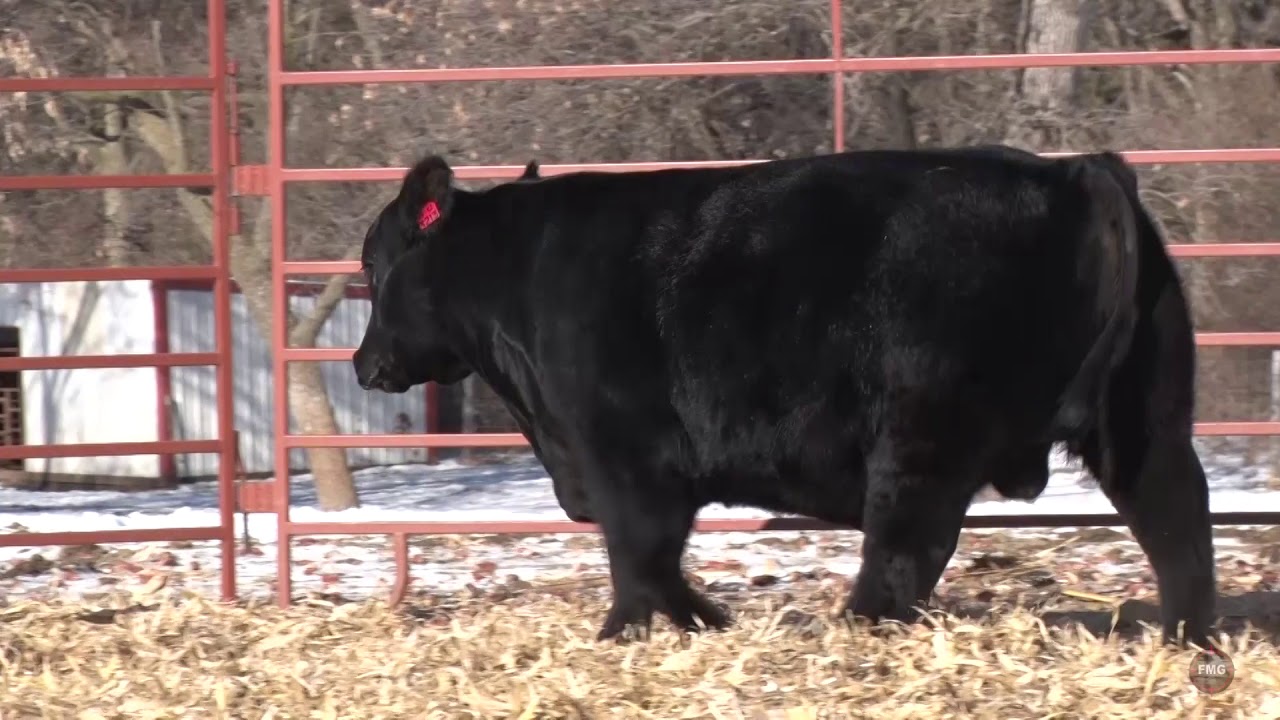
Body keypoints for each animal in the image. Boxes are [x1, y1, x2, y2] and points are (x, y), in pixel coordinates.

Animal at [352, 145, 1216, 648]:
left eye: (373, 262)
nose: (363, 363)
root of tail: (1076, 168)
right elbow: (654, 559)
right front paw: (701, 622)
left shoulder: (627, 455)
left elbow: (639, 553)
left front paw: (627, 633)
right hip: (1142, 419)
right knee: (1176, 519)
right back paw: (1188, 639)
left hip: (924, 430)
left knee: (906, 546)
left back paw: (856, 629)